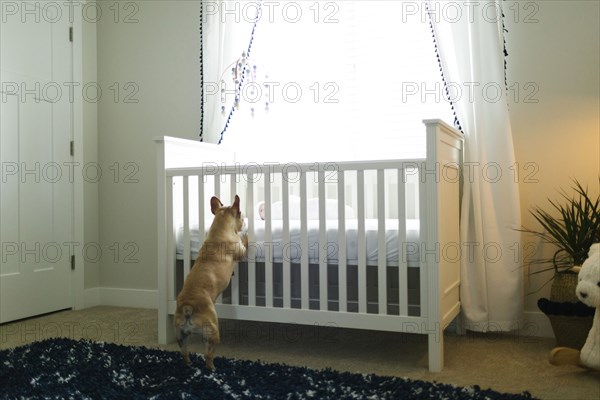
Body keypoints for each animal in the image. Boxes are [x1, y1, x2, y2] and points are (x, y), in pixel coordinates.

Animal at [172, 195, 247, 370]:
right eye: (241, 214)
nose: (245, 220)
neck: (220, 229)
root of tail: (188, 307)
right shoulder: (241, 250)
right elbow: (245, 244)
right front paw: (247, 236)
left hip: (180, 335)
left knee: (184, 352)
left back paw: (188, 364)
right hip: (213, 332)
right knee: (208, 355)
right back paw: (212, 368)